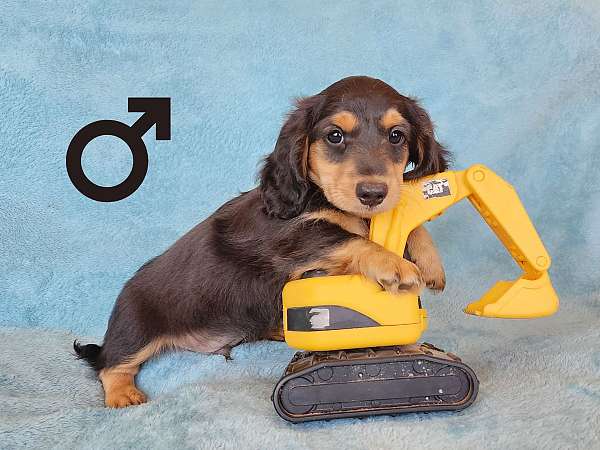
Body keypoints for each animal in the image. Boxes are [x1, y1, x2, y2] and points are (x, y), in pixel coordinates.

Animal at [75, 75, 448, 406]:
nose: (372, 193)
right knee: (111, 364)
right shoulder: (289, 237)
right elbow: (346, 237)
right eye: (335, 135)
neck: (322, 198)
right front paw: (395, 264)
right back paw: (123, 394)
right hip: (135, 328)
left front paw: (429, 262)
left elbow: (405, 223)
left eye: (397, 136)